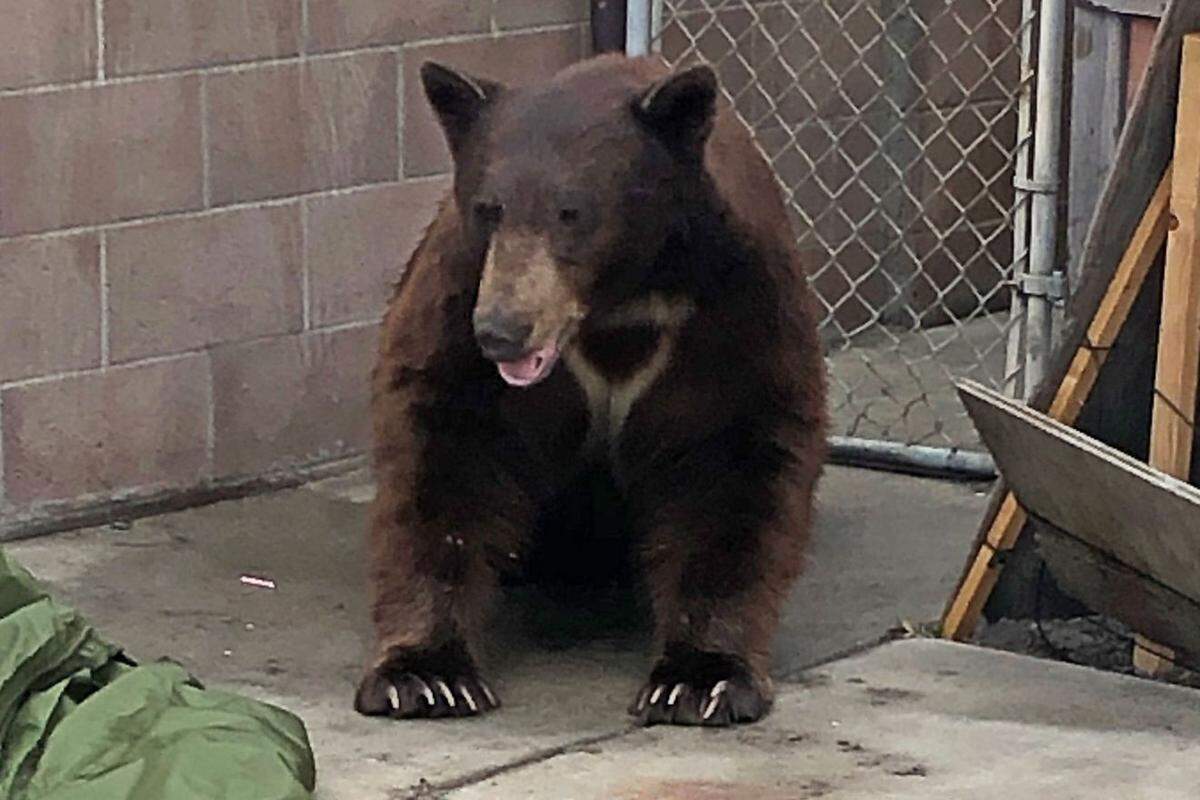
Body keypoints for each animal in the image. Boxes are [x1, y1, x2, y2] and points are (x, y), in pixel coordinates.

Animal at [354, 53, 827, 727]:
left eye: (571, 211)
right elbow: (443, 451)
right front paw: (424, 674)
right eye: (487, 207)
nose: (501, 331)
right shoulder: (459, 296)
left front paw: (699, 679)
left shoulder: (733, 310)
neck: (617, 307)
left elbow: (736, 458)